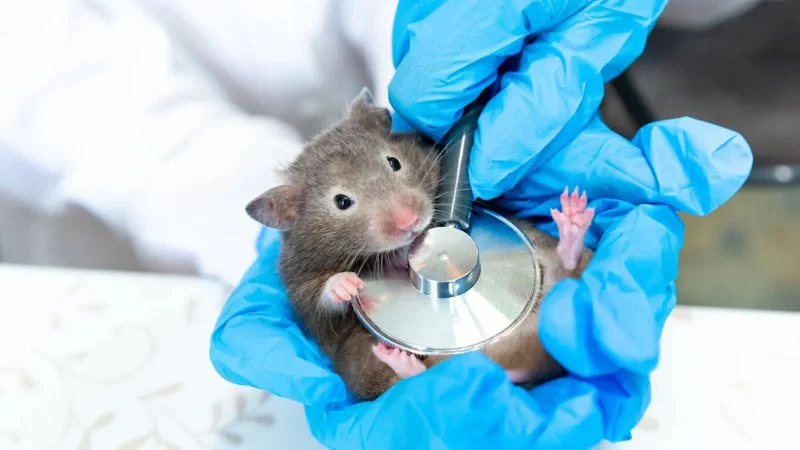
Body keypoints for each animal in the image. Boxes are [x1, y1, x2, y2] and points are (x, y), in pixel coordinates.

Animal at [245, 88, 594, 400]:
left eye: (394, 162)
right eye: (342, 202)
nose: (410, 221)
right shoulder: (300, 288)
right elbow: (321, 297)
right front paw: (350, 284)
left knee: (568, 266)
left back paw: (574, 217)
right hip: (364, 366)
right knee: (410, 380)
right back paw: (401, 360)